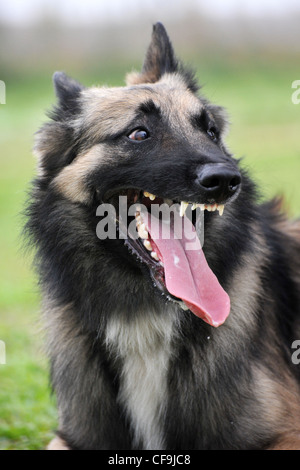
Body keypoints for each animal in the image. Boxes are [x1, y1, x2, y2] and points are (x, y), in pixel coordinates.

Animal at [25, 23, 300, 452]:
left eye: (210, 131)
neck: (146, 315)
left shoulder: (286, 432)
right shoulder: (72, 437)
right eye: (139, 134)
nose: (227, 181)